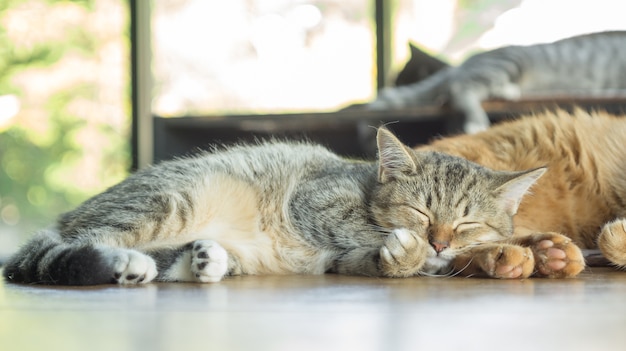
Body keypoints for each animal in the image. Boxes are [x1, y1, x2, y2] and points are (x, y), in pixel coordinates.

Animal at [1, 126, 576, 286]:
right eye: (420, 213)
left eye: (468, 222)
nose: (438, 240)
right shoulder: (316, 201)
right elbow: (367, 234)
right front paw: (414, 252)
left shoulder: (345, 261)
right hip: (170, 201)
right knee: (86, 243)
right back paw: (127, 265)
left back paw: (204, 260)